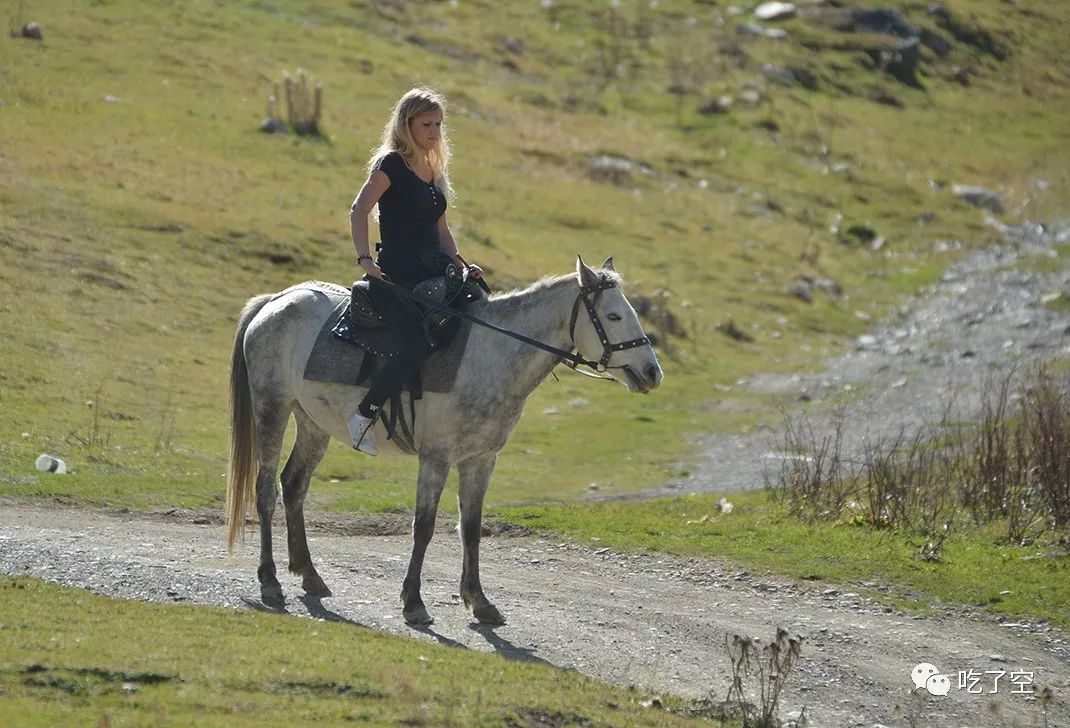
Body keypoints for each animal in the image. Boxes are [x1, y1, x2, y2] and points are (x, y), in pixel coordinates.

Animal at [224, 256, 659, 625]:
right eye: (614, 315)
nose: (653, 372)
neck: (491, 354)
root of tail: (276, 301)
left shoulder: (480, 459)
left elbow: (471, 528)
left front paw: (480, 602)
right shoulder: (436, 456)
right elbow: (425, 526)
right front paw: (414, 603)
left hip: (312, 422)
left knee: (294, 485)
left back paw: (310, 576)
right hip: (272, 407)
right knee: (266, 489)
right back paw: (270, 581)